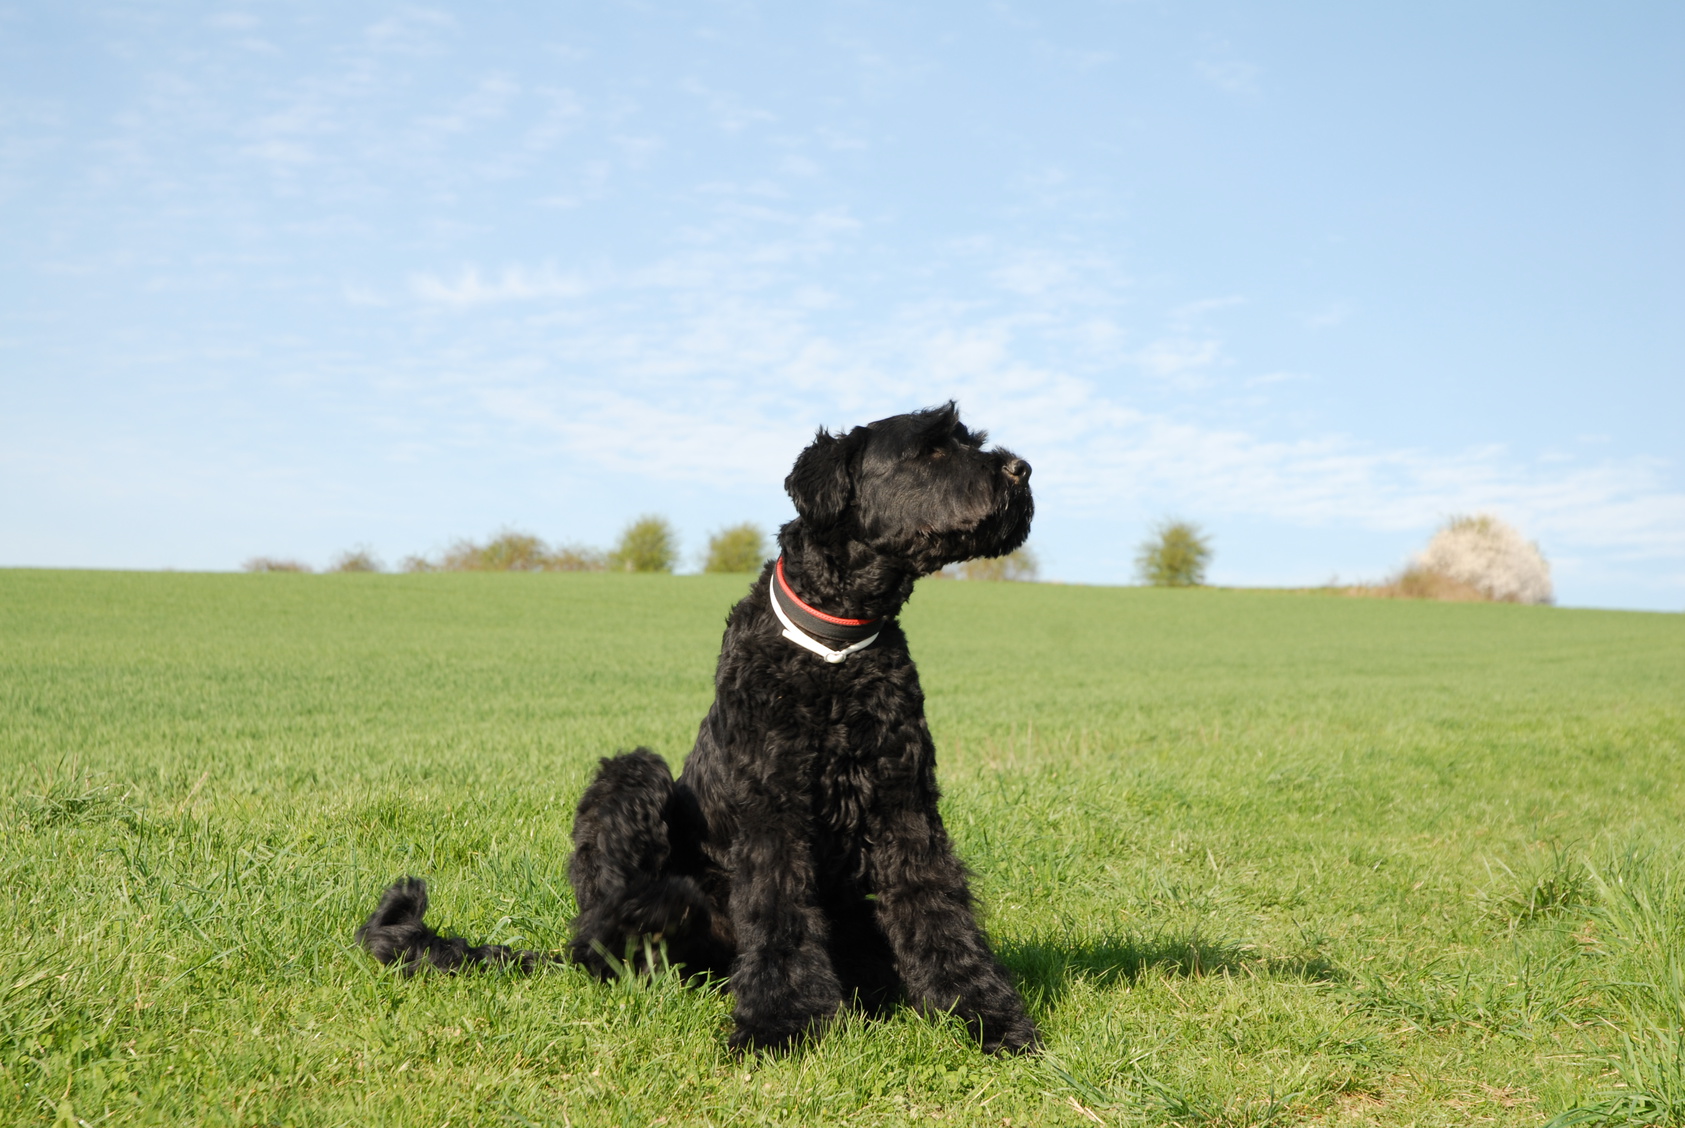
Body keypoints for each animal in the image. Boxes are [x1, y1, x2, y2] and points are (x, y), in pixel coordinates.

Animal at [362, 406, 1031, 1058]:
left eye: (969, 438)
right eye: (932, 446)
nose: (1020, 470)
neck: (834, 651)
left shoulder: (903, 805)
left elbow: (935, 908)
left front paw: (982, 1014)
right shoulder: (772, 812)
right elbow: (779, 912)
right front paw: (780, 1023)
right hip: (633, 774)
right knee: (602, 936)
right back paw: (653, 909)